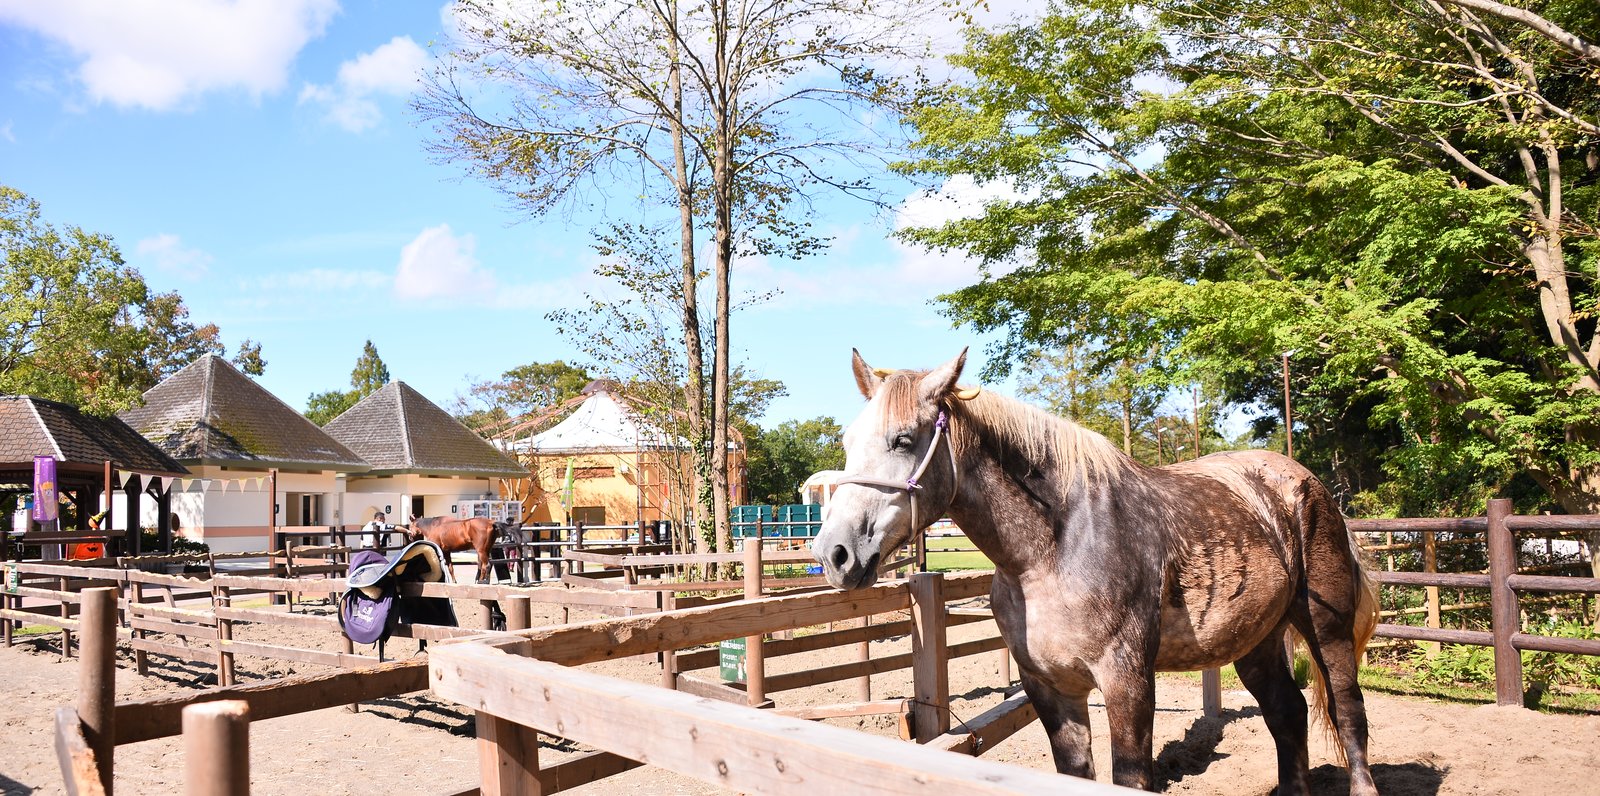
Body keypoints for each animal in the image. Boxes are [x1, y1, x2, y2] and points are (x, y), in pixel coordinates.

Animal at [812, 351, 1376, 796]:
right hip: (1256, 641)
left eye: (903, 440)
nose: (834, 553)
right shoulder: (1049, 687)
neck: (1052, 552)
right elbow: (1074, 773)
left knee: (1348, 713)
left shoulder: (1127, 681)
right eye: (848, 441)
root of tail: (1306, 483)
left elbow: (1131, 777)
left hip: (1327, 632)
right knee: (1288, 714)